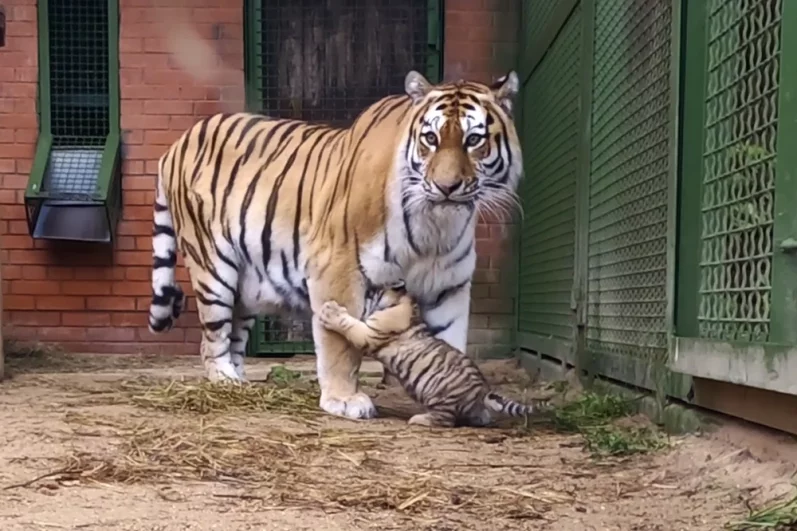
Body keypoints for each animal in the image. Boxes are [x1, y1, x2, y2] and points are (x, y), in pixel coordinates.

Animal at [147, 69, 524, 420]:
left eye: (473, 140)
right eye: (430, 138)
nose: (446, 187)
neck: (436, 226)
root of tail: (175, 145)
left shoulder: (450, 285)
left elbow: (449, 343)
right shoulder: (339, 266)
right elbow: (340, 344)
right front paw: (344, 400)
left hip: (247, 282)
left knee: (235, 335)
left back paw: (241, 383)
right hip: (213, 268)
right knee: (212, 338)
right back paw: (225, 380)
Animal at [318, 285, 543, 427]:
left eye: (375, 290)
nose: (367, 290)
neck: (407, 304)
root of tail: (482, 391)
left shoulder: (369, 332)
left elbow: (349, 323)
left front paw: (330, 311)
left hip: (439, 396)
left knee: (446, 421)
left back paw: (419, 420)